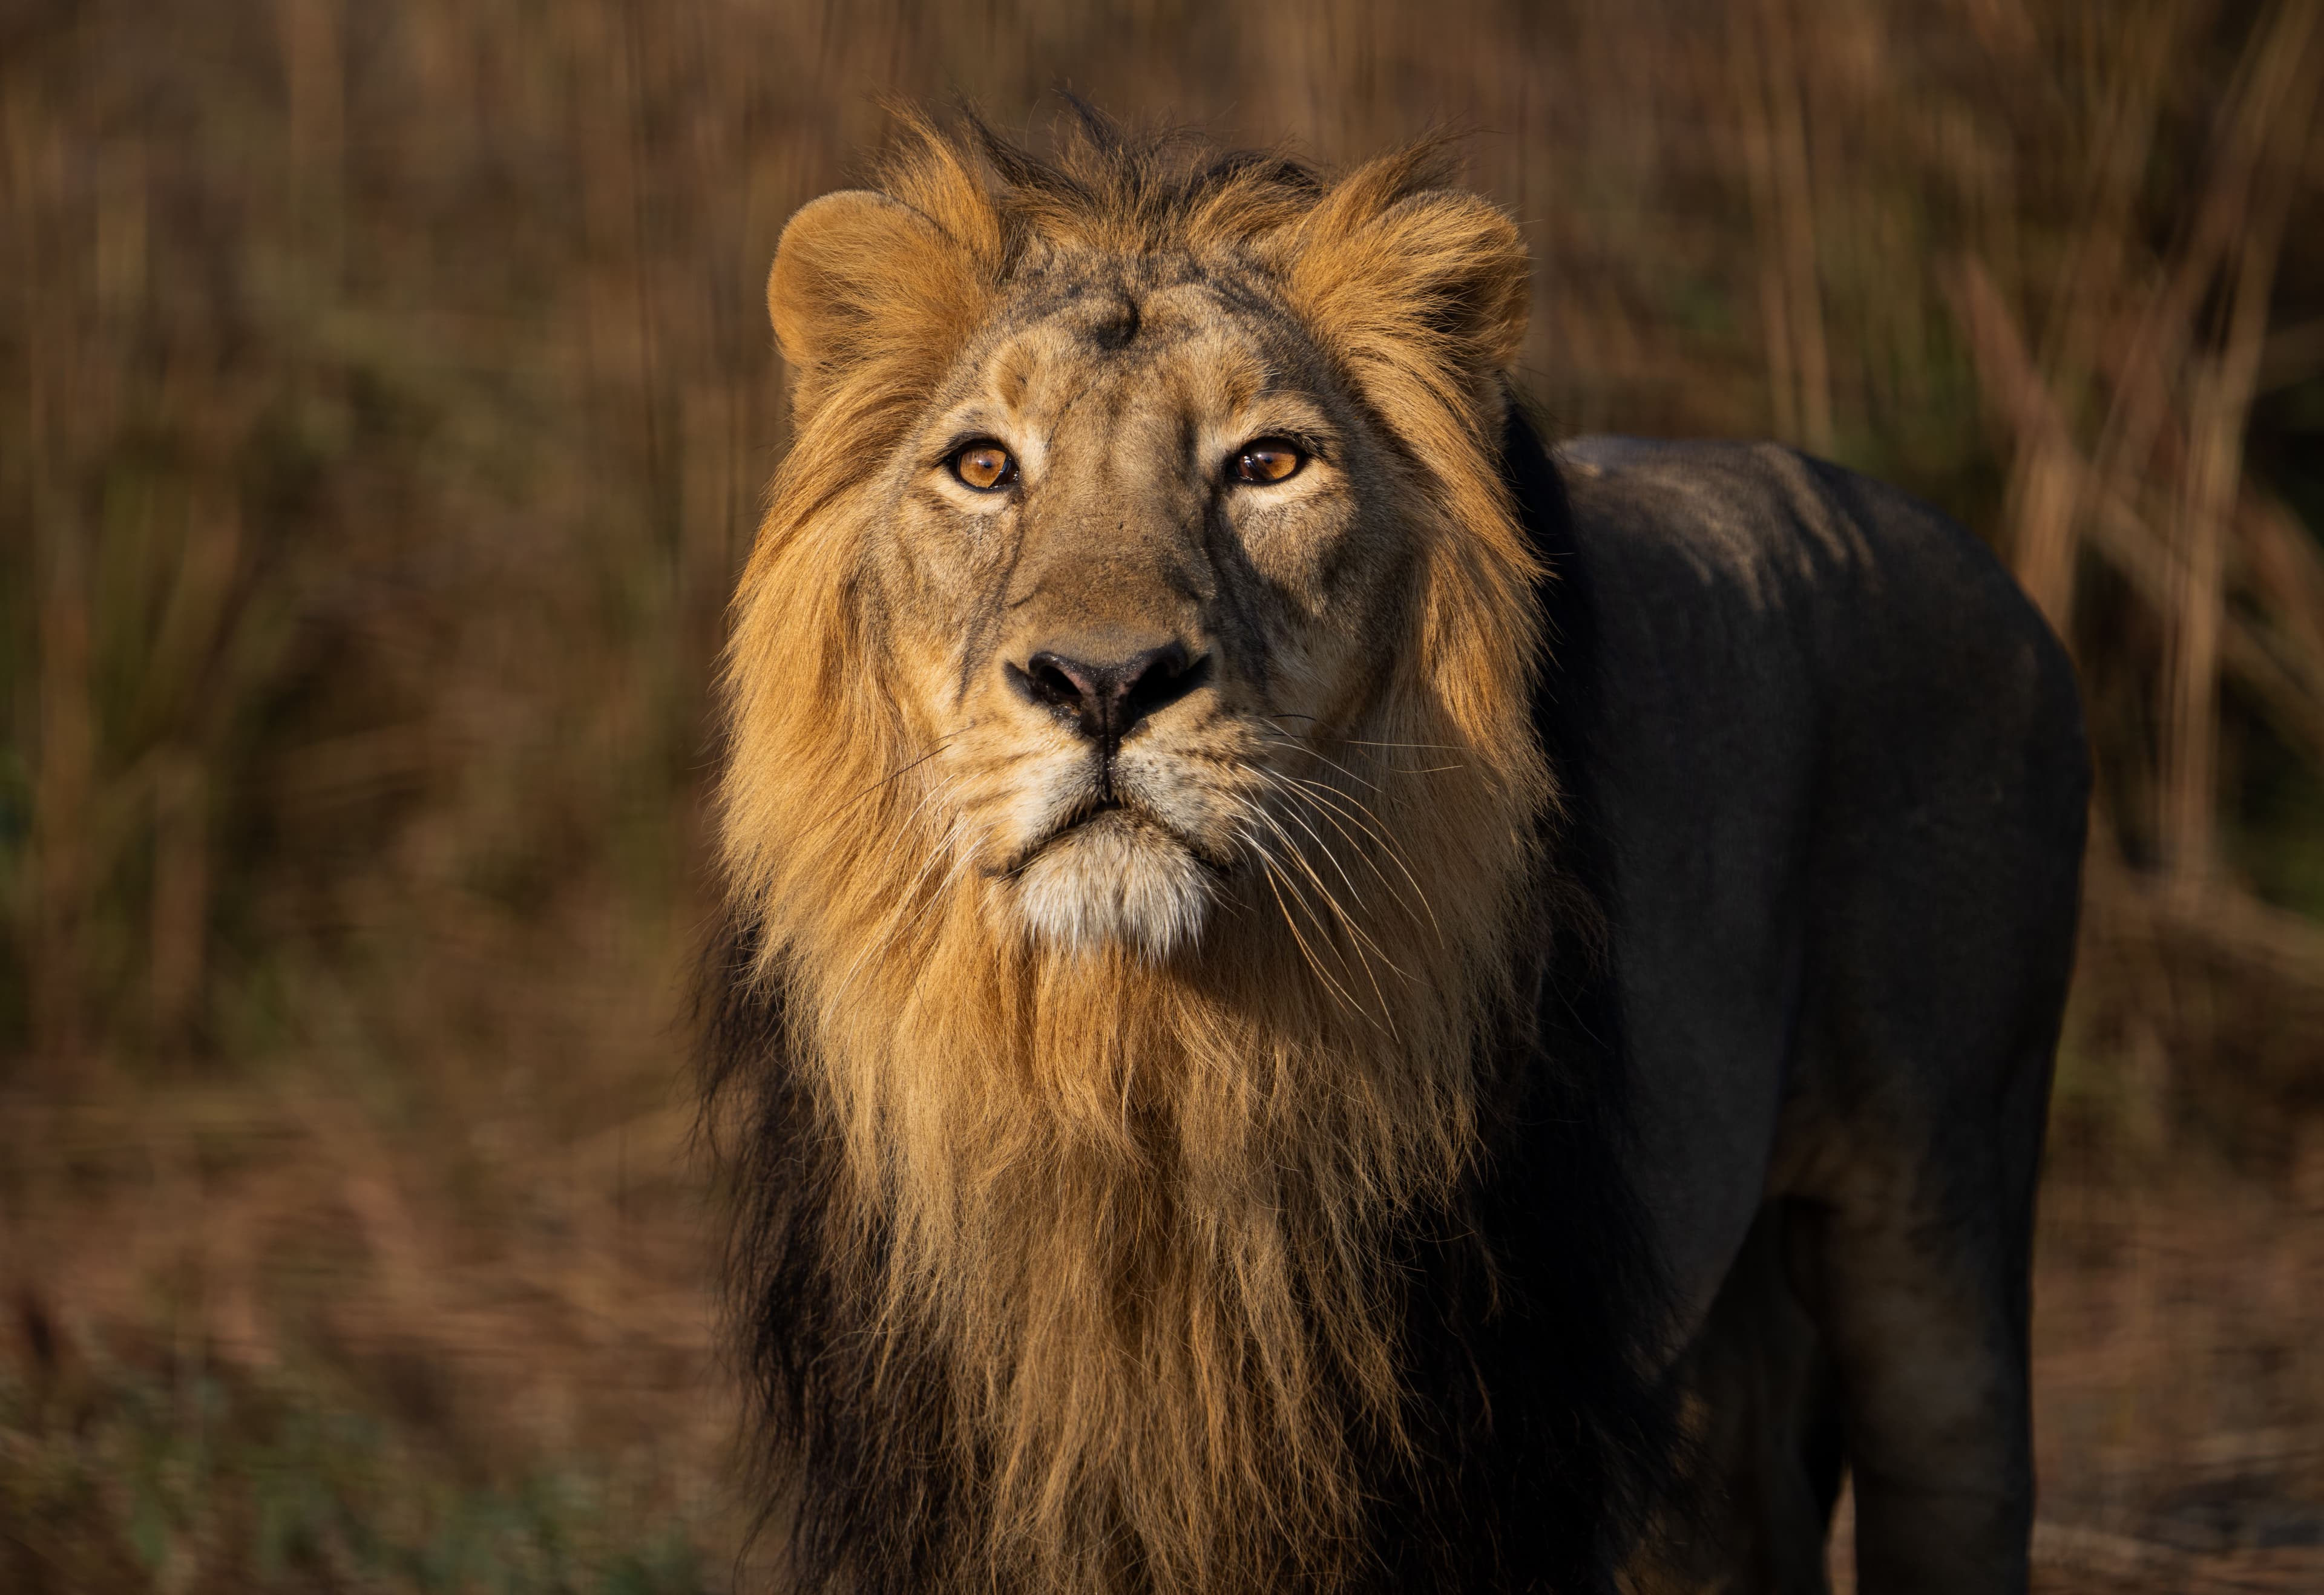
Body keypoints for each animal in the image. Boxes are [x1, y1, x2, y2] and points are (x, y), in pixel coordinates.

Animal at [702, 108, 2088, 1595]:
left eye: (1268, 464)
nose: (1104, 681)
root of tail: (1968, 554)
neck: (1135, 1062)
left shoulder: (1474, 1446)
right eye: (983, 466)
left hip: (1942, 1226)